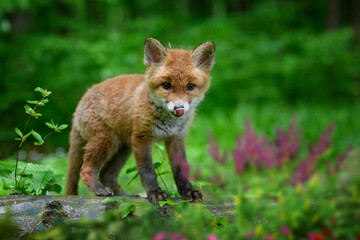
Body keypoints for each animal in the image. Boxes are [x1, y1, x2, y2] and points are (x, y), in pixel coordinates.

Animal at [65, 37, 215, 202]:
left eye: (190, 86)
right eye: (166, 85)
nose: (179, 108)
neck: (168, 122)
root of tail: (81, 100)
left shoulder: (176, 139)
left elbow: (180, 170)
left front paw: (188, 192)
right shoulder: (141, 138)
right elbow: (147, 171)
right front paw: (155, 193)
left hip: (124, 148)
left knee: (106, 175)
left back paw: (124, 195)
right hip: (107, 140)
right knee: (86, 170)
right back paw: (98, 189)